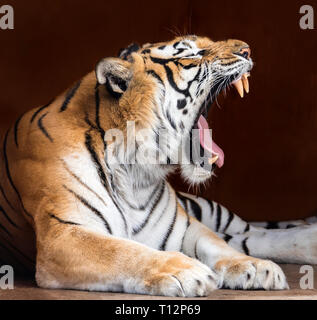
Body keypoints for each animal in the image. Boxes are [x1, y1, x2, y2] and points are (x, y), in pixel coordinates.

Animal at [0, 33, 316, 296]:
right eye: (191, 53)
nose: (247, 50)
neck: (135, 174)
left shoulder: (184, 225)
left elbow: (218, 244)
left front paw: (255, 266)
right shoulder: (63, 233)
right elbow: (124, 252)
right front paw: (186, 271)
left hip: (206, 208)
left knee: (248, 232)